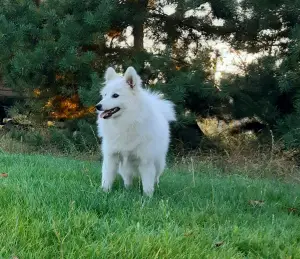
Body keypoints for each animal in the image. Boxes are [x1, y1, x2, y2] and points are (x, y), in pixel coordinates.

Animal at [96, 67, 176, 197]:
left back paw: (156, 187)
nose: (97, 106)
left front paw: (148, 198)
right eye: (104, 95)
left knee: (156, 177)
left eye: (115, 95)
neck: (126, 122)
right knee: (127, 177)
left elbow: (147, 183)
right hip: (125, 165)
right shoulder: (111, 156)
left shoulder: (146, 160)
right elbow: (107, 178)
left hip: (159, 162)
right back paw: (128, 188)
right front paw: (104, 192)